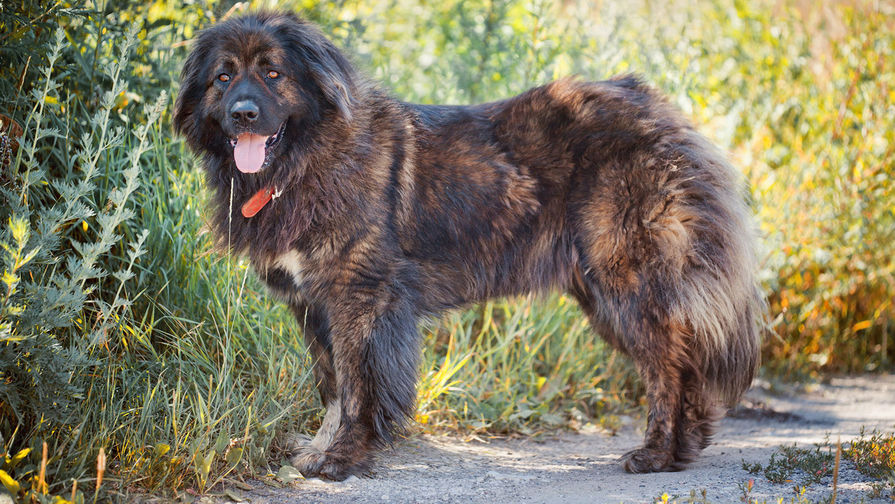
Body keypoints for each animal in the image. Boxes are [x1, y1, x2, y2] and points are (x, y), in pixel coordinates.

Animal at [173, 9, 764, 478]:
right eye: (223, 78)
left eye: (273, 73)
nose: (243, 113)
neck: (304, 161)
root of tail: (659, 111)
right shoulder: (312, 304)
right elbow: (332, 386)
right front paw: (319, 452)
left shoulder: (361, 299)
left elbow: (358, 388)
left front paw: (342, 459)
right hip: (605, 293)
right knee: (685, 364)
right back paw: (682, 449)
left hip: (628, 282)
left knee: (669, 368)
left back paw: (656, 454)